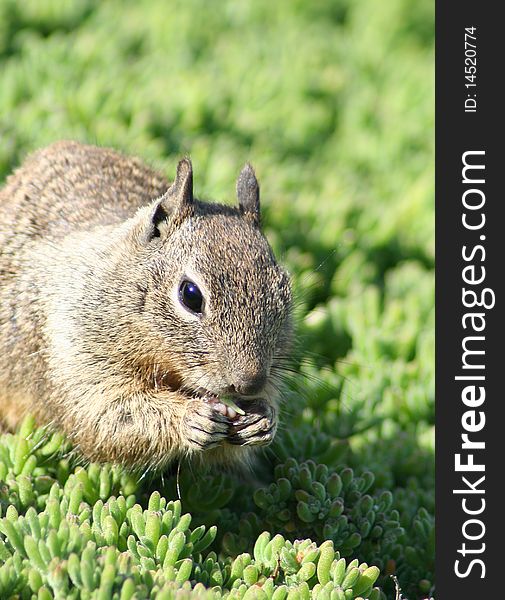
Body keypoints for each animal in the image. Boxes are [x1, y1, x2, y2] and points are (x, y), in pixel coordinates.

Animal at [0, 141, 294, 468]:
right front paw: (190, 417)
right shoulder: (76, 355)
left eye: (284, 289)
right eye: (191, 295)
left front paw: (264, 419)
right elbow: (109, 416)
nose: (250, 383)